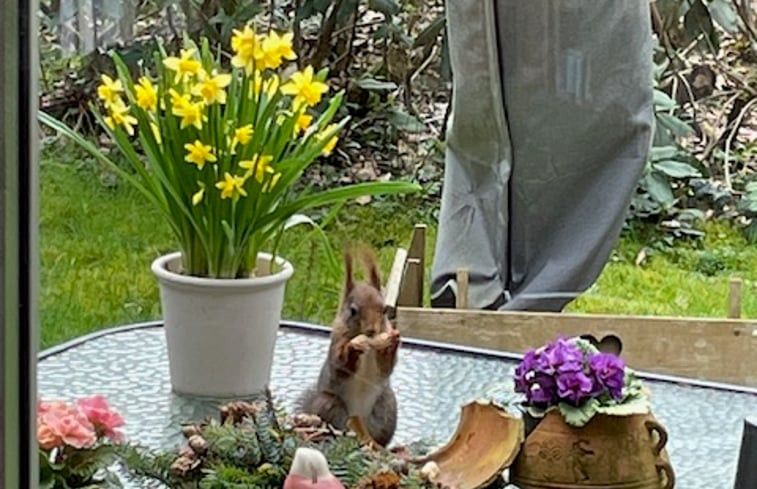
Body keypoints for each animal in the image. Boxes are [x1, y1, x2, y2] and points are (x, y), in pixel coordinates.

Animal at [296, 248, 398, 446]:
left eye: (384, 310)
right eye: (353, 311)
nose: (372, 330)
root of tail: (360, 425)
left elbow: (386, 368)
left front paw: (393, 341)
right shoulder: (337, 341)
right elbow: (339, 365)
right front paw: (352, 348)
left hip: (387, 408)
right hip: (329, 405)